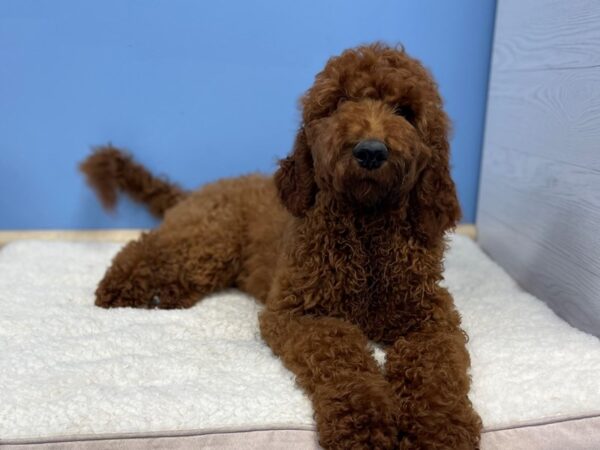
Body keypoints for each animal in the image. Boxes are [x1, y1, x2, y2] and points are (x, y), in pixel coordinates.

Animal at [81, 43, 482, 450]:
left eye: (405, 111)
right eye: (339, 103)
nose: (370, 151)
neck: (367, 226)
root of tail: (198, 191)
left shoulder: (430, 318)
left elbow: (437, 371)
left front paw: (439, 429)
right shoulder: (299, 313)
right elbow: (342, 355)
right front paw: (365, 422)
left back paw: (166, 296)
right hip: (209, 240)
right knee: (146, 247)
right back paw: (118, 287)